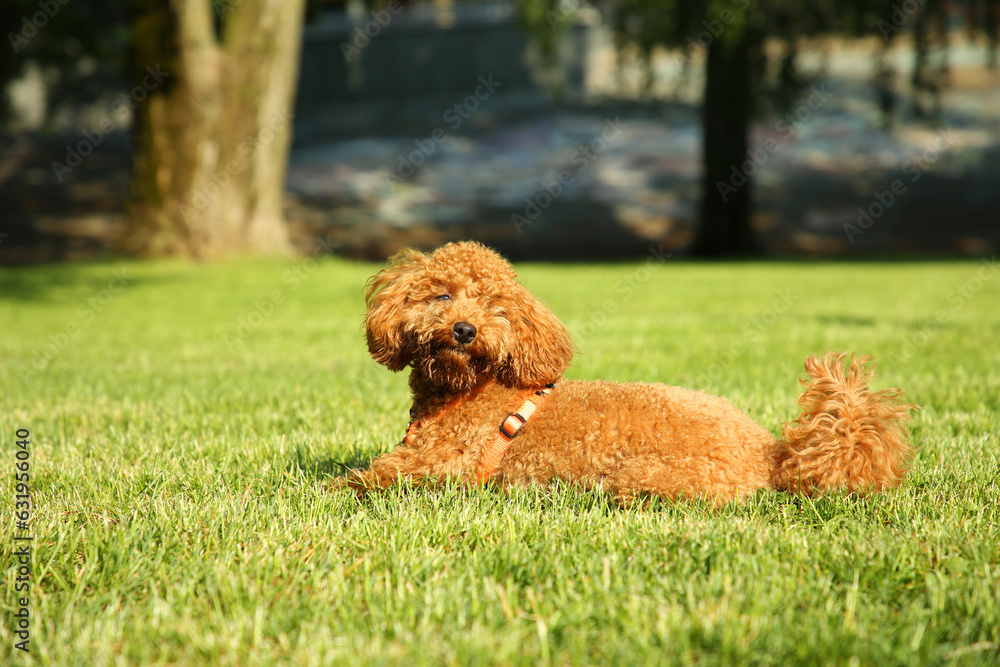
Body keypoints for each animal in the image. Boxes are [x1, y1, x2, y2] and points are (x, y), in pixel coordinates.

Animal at [340, 241, 916, 506]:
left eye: (496, 308)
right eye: (441, 295)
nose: (464, 330)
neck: (470, 388)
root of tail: (774, 453)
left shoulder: (445, 464)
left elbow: (374, 476)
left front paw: (334, 488)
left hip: (644, 479)